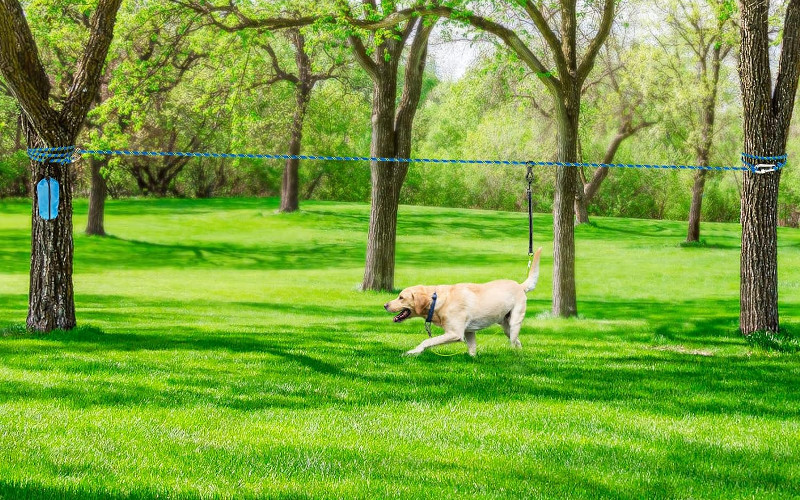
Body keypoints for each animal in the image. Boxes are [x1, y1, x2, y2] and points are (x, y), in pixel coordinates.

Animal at [382, 247, 544, 356]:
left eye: (401, 297)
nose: (385, 305)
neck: (437, 300)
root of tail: (520, 285)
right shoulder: (469, 332)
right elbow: (472, 351)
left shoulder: (455, 333)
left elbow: (427, 341)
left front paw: (413, 352)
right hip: (506, 327)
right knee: (518, 342)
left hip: (514, 323)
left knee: (514, 341)